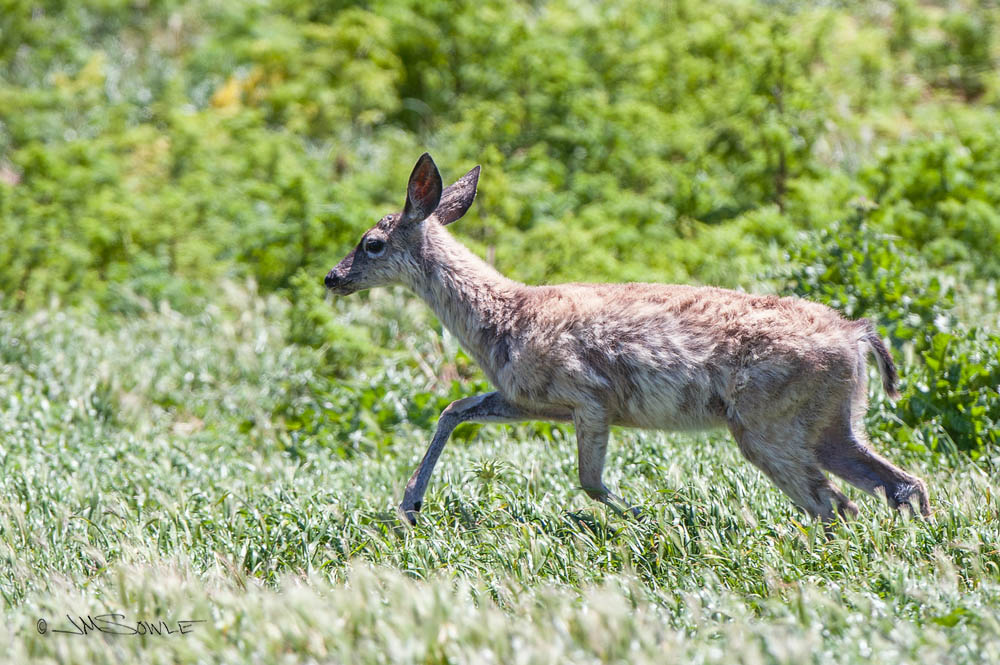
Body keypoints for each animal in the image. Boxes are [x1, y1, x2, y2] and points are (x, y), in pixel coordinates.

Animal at [324, 153, 930, 526]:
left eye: (371, 243)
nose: (332, 277)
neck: (506, 319)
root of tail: (857, 336)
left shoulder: (588, 396)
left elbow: (589, 481)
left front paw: (651, 519)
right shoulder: (531, 401)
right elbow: (454, 408)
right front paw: (410, 503)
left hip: (767, 424)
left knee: (837, 505)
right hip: (832, 421)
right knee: (901, 484)